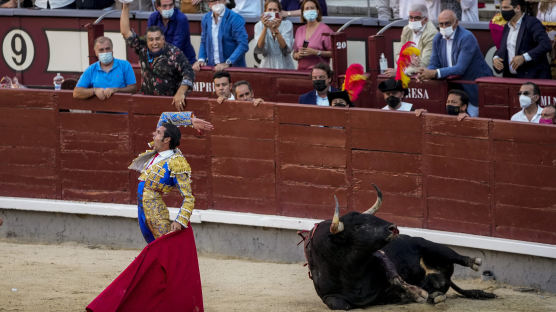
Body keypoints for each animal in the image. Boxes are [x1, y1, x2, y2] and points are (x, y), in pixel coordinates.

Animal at [304, 185, 496, 310]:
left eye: (372, 218)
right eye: (358, 226)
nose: (393, 227)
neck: (350, 271)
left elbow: (396, 278)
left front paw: (417, 294)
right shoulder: (329, 296)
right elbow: (340, 304)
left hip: (431, 246)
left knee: (454, 255)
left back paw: (474, 262)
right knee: (440, 289)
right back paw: (435, 296)